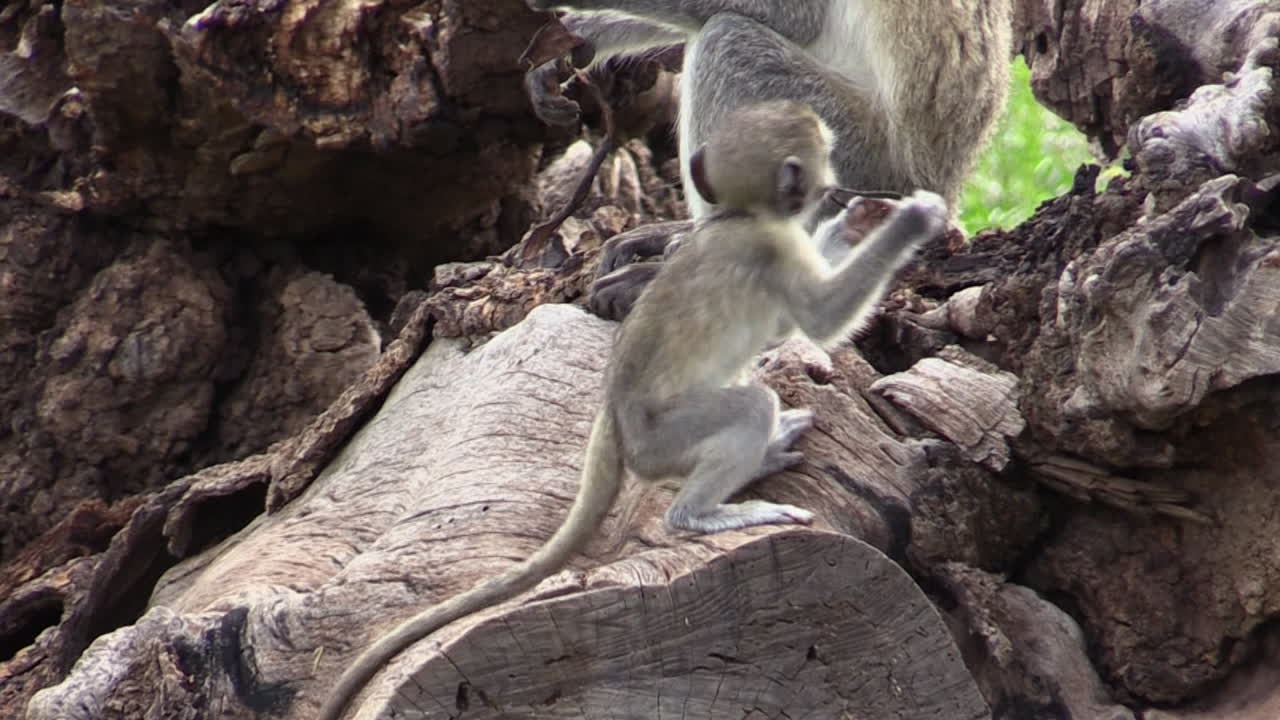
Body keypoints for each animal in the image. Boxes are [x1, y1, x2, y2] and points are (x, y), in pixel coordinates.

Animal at [316, 100, 947, 720]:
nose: (837, 182)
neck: (741, 216)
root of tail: (616, 421)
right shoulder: (772, 249)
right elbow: (817, 322)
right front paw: (911, 222)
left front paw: (862, 220)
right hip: (663, 441)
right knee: (746, 408)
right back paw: (698, 514)